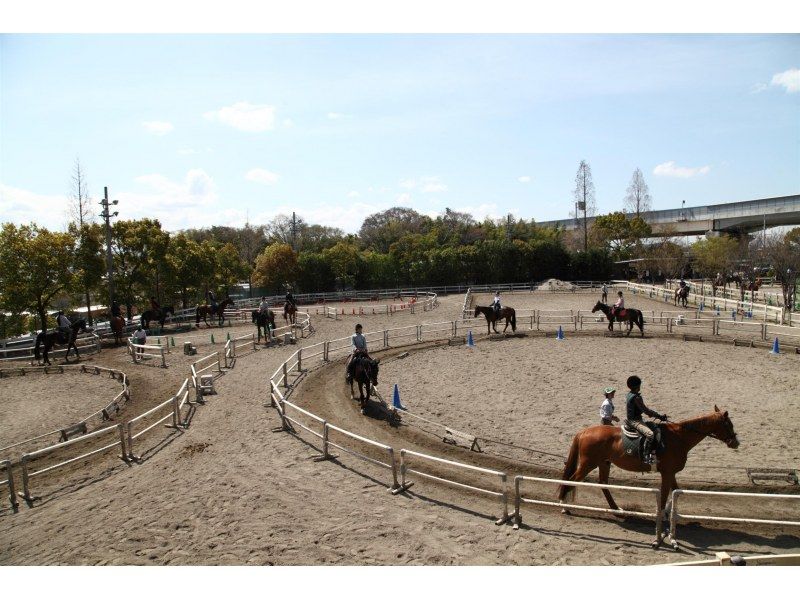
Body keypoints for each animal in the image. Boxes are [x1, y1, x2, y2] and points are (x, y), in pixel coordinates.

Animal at [556, 408, 736, 548]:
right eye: (728, 424)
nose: (736, 442)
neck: (679, 437)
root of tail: (584, 431)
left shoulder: (671, 473)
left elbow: (675, 492)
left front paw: (670, 514)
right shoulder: (667, 474)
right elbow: (664, 496)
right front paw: (662, 521)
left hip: (604, 463)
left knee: (603, 484)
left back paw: (616, 509)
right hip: (588, 464)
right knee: (571, 480)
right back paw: (564, 506)